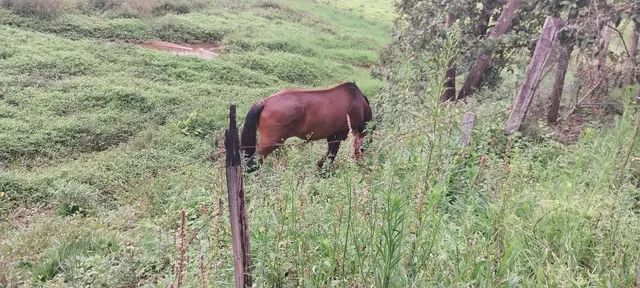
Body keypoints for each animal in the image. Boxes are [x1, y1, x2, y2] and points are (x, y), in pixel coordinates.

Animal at [240, 81, 372, 171]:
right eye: (363, 149)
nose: (363, 166)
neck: (359, 103)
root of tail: (264, 102)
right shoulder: (338, 136)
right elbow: (331, 155)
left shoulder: (332, 136)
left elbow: (327, 154)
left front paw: (319, 167)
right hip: (271, 143)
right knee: (252, 164)